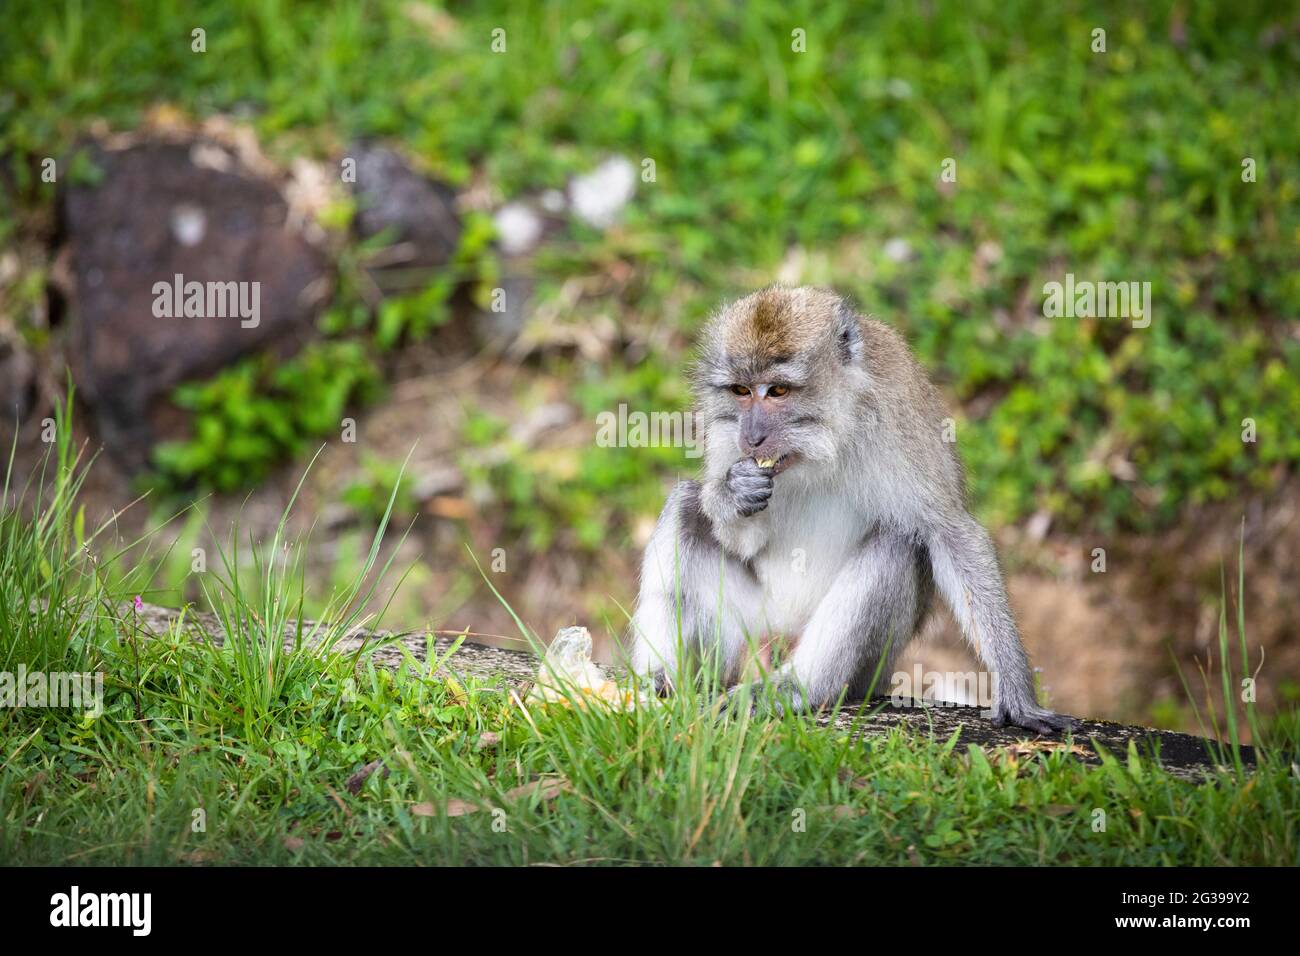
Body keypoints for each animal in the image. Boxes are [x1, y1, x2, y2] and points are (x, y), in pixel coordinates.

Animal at [629, 283, 1076, 733]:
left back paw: (797, 687)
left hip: (865, 672)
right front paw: (731, 493)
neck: (825, 440)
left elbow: (949, 533)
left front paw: (1017, 694)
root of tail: (779, 640)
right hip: (751, 627)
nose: (752, 437)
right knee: (685, 507)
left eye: (778, 391)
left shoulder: (899, 420)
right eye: (741, 391)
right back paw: (662, 678)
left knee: (897, 543)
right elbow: (743, 539)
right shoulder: (725, 434)